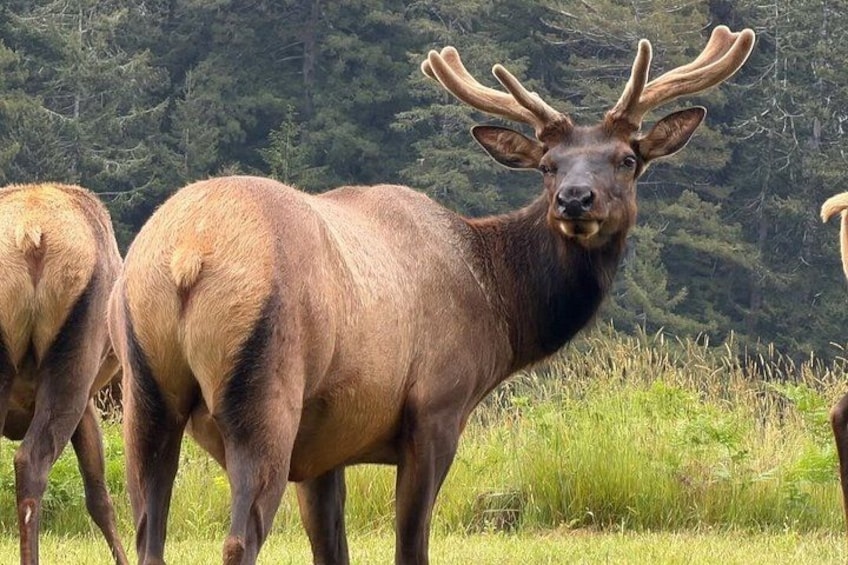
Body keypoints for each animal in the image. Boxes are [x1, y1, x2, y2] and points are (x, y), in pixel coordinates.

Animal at [108, 25, 755, 565]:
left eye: (626, 159)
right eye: (548, 164)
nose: (575, 199)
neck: (498, 309)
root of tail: (187, 255)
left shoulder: (324, 444)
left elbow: (332, 548)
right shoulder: (437, 408)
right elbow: (411, 543)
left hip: (145, 389)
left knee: (147, 534)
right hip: (265, 388)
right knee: (238, 539)